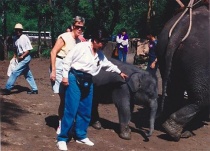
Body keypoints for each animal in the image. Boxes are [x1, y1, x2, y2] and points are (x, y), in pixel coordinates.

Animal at [157, 2, 209, 142]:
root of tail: (179, 30)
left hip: (164, 50)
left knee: (174, 91)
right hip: (199, 57)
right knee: (202, 98)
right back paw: (176, 131)